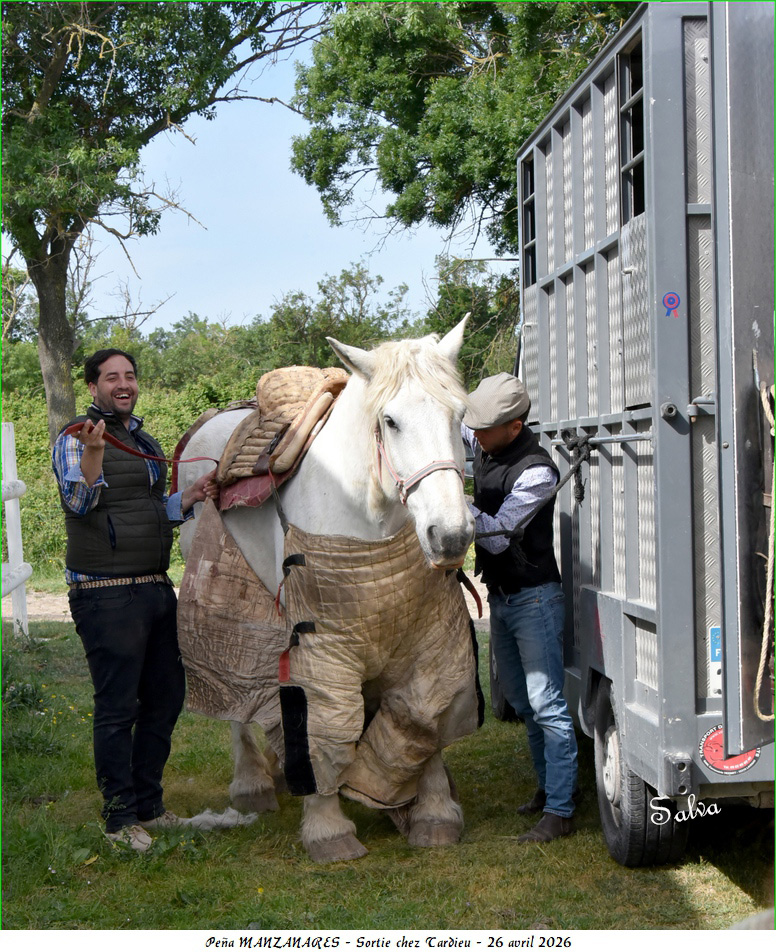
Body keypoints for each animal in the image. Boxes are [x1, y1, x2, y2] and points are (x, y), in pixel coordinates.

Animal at [177, 318, 479, 862]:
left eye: (459, 413)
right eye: (390, 421)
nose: (451, 535)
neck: (365, 514)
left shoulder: (422, 633)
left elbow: (424, 713)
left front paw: (431, 810)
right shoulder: (323, 639)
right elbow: (326, 719)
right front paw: (327, 827)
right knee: (234, 694)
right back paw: (252, 783)